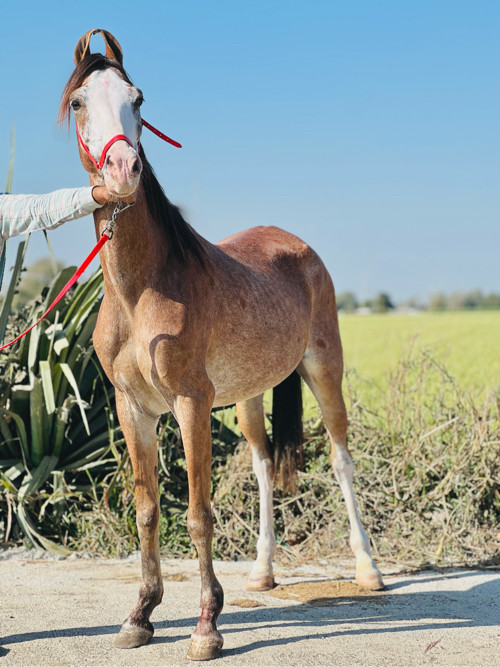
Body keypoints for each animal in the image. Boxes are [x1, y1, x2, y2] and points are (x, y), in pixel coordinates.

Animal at [60, 28, 384, 660]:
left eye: (138, 98)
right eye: (81, 102)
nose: (124, 169)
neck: (141, 290)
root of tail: (296, 243)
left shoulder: (191, 404)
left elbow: (199, 514)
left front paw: (207, 625)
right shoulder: (133, 409)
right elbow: (147, 510)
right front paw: (140, 615)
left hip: (324, 370)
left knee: (340, 457)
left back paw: (367, 570)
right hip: (251, 395)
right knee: (262, 466)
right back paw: (262, 572)